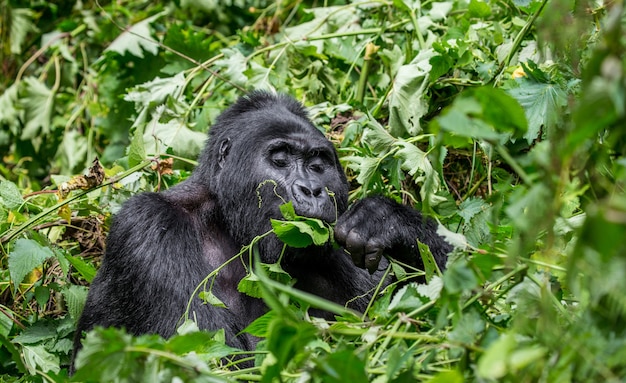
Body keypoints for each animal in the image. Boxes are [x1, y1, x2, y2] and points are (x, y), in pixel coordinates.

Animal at [73, 91, 450, 368]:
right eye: (279, 159)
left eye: (318, 164)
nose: (311, 190)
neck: (225, 222)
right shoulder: (148, 228)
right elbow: (213, 361)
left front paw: (387, 220)